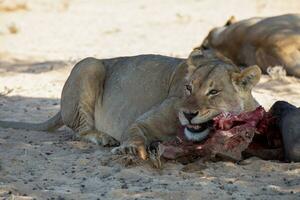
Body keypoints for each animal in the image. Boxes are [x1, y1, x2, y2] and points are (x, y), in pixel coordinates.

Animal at [0, 50, 262, 159]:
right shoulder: (143, 122)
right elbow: (135, 134)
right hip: (89, 65)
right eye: (188, 88)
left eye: (214, 92)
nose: (187, 114)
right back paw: (103, 137)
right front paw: (130, 149)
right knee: (79, 131)